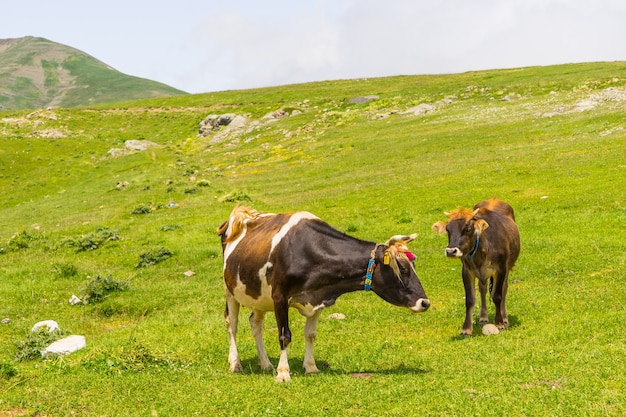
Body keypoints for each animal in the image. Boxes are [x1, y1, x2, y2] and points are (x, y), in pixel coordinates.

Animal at [217, 205, 426, 380]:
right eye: (402, 269)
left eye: (414, 266)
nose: (425, 302)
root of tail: (240, 212)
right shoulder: (280, 296)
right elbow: (285, 335)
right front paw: (283, 373)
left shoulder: (318, 298)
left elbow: (310, 334)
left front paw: (310, 367)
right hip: (230, 290)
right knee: (232, 323)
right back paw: (235, 363)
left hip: (258, 295)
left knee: (255, 323)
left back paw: (266, 363)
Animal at [432, 197, 520, 336]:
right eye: (448, 230)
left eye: (467, 229)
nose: (451, 251)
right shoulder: (467, 271)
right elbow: (470, 299)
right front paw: (466, 328)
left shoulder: (500, 269)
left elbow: (497, 295)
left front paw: (499, 323)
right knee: (482, 289)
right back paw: (483, 317)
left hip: (508, 266)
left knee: (504, 289)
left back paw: (505, 318)